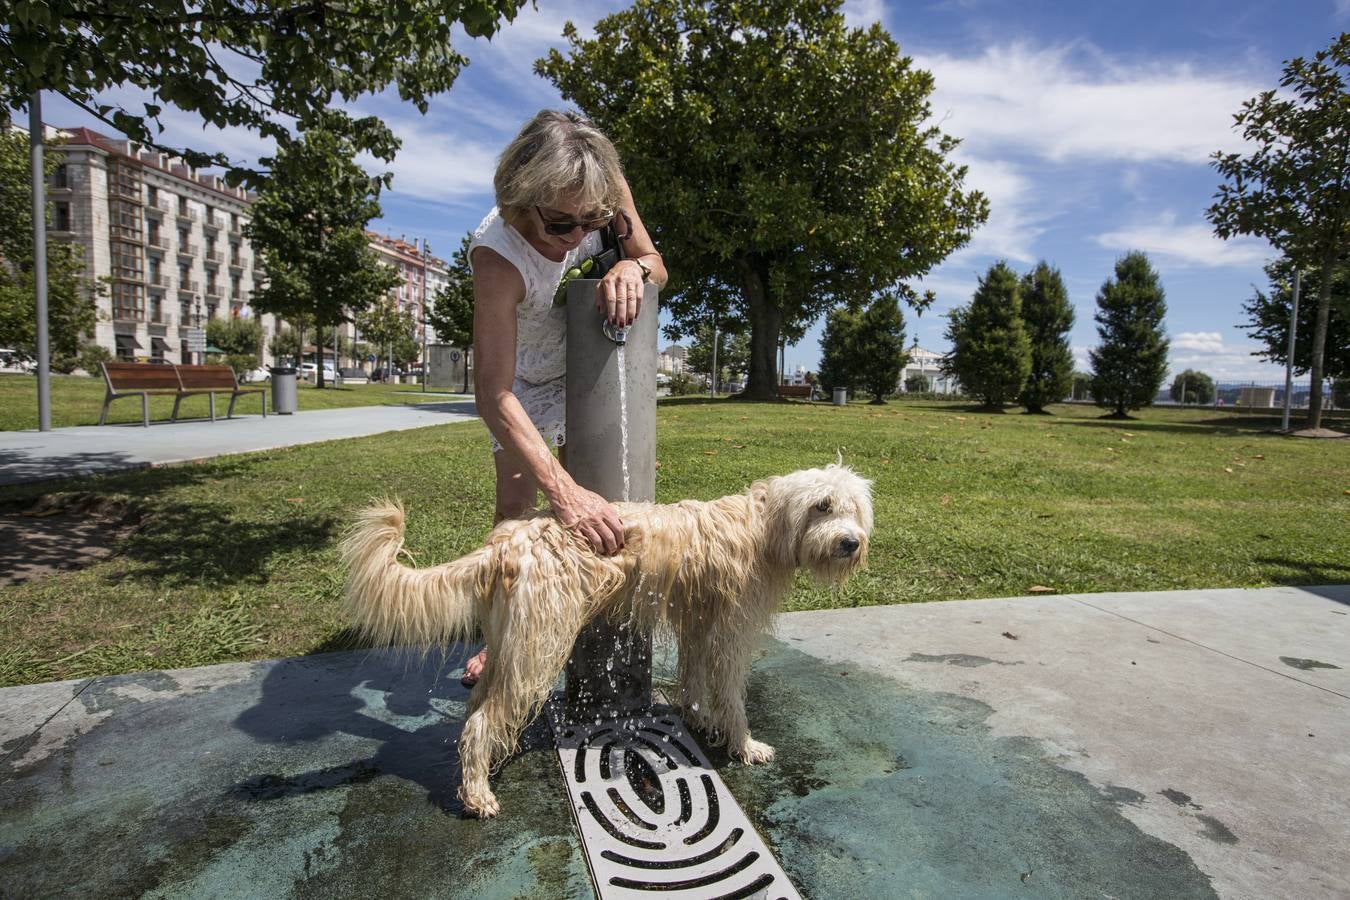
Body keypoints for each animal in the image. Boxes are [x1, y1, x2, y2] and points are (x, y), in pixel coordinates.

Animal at [340, 461, 874, 820]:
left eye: (853, 509)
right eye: (822, 506)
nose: (851, 542)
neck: (765, 527)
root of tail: (506, 542)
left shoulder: (700, 624)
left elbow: (696, 682)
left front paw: (701, 722)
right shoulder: (730, 635)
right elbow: (730, 696)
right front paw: (745, 746)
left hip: (511, 646)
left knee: (477, 710)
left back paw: (489, 763)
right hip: (538, 647)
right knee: (482, 719)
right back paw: (477, 794)